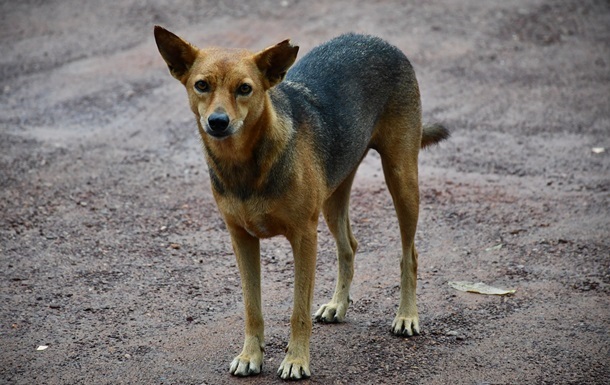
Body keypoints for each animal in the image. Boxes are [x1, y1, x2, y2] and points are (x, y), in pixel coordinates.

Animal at [152, 26, 446, 378]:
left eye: (245, 89)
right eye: (201, 85)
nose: (218, 122)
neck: (245, 164)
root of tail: (376, 39)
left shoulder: (304, 237)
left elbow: (298, 311)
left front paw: (296, 360)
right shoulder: (241, 239)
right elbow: (252, 307)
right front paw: (251, 355)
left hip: (402, 180)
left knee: (409, 254)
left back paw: (406, 315)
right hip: (334, 197)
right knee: (349, 247)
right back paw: (338, 305)